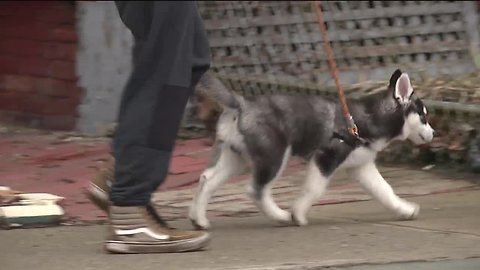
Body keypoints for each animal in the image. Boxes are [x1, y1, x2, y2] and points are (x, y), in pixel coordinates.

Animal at [188, 69, 436, 230]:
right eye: (423, 116)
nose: (434, 133)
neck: (365, 120)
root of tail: (242, 103)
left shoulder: (361, 166)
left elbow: (385, 190)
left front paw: (404, 209)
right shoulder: (326, 157)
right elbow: (314, 189)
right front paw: (297, 213)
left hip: (235, 156)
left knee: (207, 178)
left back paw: (199, 220)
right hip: (274, 155)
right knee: (255, 190)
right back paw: (280, 216)